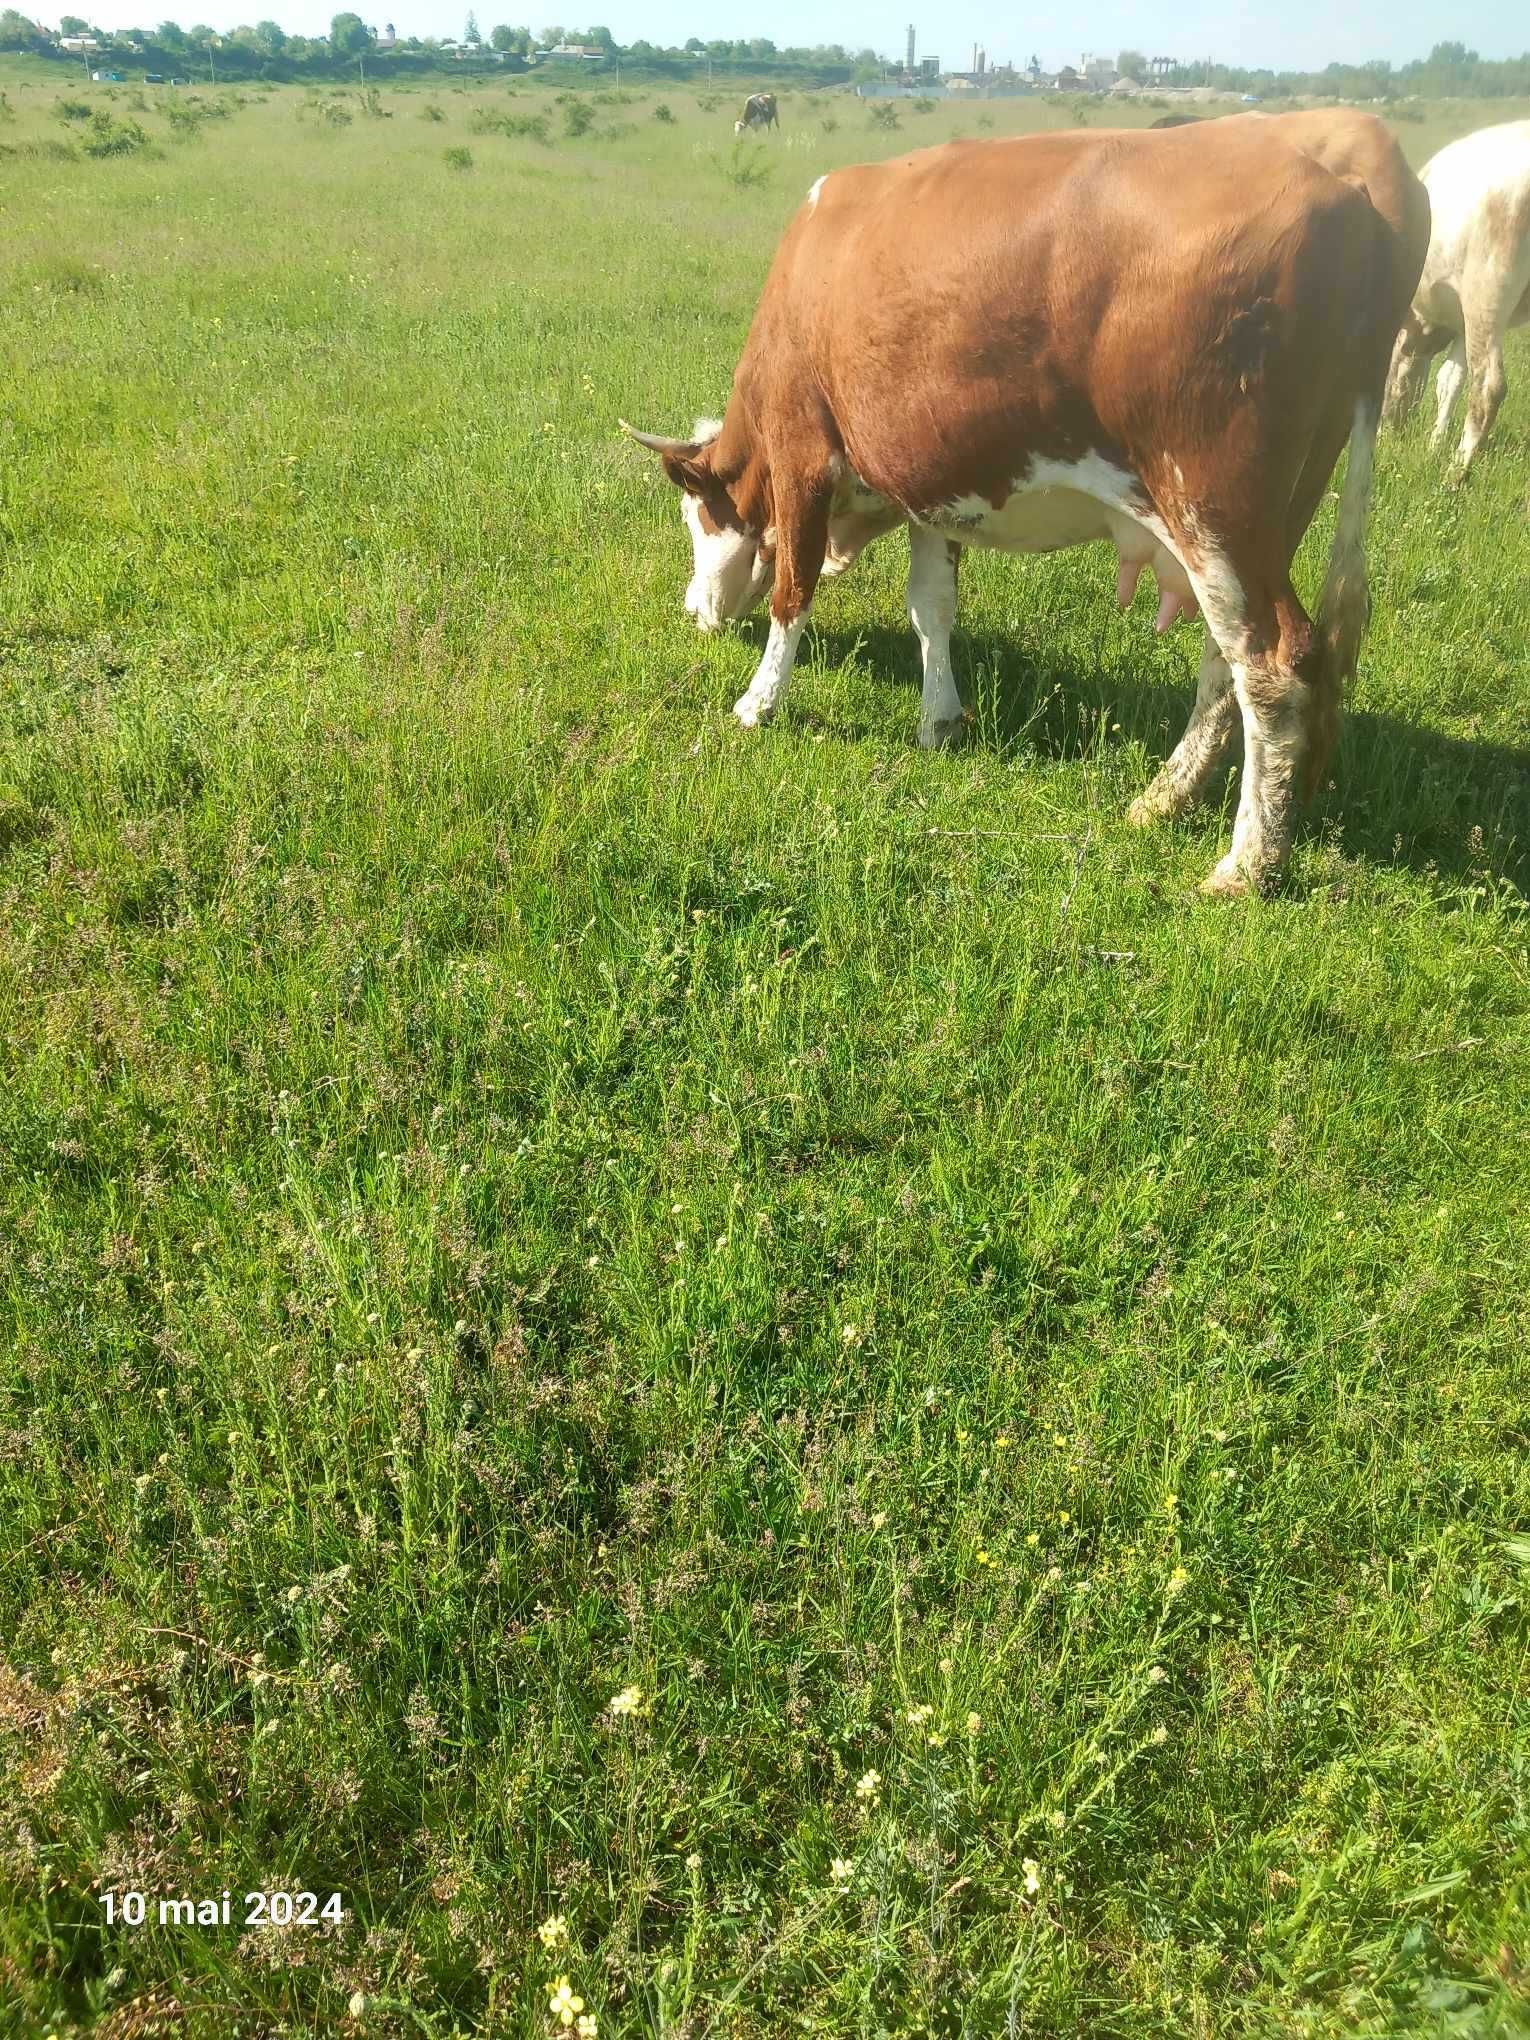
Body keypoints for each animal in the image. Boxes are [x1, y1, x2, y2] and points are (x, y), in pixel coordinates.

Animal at [624, 111, 1436, 893]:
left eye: (695, 515)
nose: (693, 611)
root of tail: (1352, 187)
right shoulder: (932, 490)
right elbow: (932, 607)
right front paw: (940, 719)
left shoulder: (801, 453)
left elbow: (792, 591)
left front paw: (759, 703)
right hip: (1262, 523)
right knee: (1226, 657)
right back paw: (1165, 799)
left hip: (1210, 504)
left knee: (1273, 663)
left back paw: (1247, 865)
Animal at [1387, 118, 1530, 473]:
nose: (1391, 431)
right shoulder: (1462, 322)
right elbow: (1449, 380)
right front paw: (1434, 444)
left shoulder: (1471, 311)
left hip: (1488, 288)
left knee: (1488, 385)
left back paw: (1456, 472)